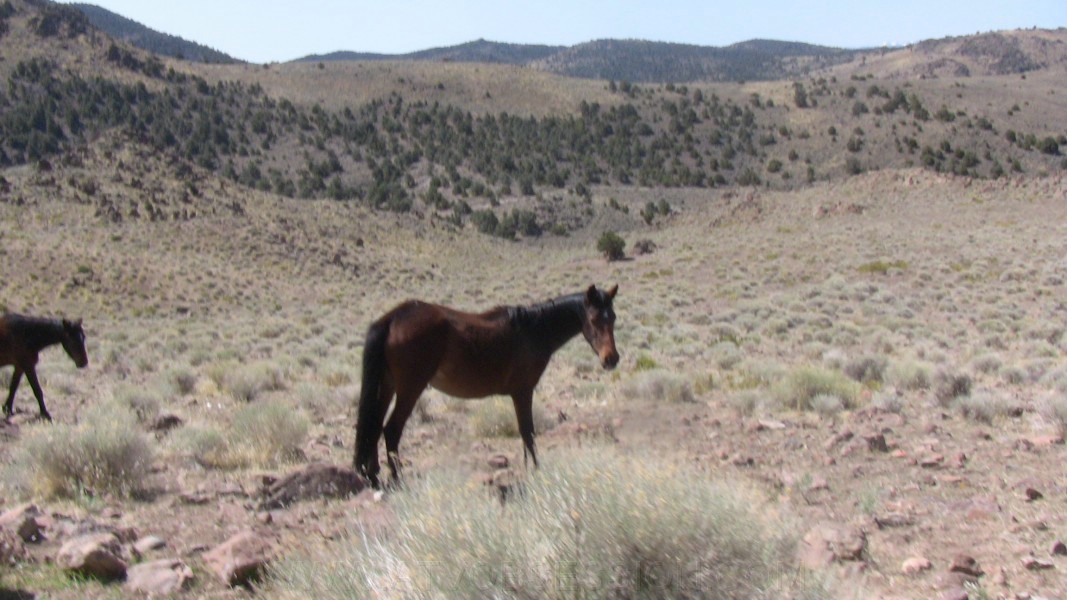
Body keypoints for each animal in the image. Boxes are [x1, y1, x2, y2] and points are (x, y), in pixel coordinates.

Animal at [354, 284, 619, 488]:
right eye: (594, 319)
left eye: (613, 318)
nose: (611, 359)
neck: (533, 331)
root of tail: (393, 318)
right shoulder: (523, 392)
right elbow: (528, 431)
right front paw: (535, 470)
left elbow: (526, 434)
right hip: (410, 388)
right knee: (391, 430)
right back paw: (397, 480)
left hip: (387, 386)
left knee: (374, 426)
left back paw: (374, 476)